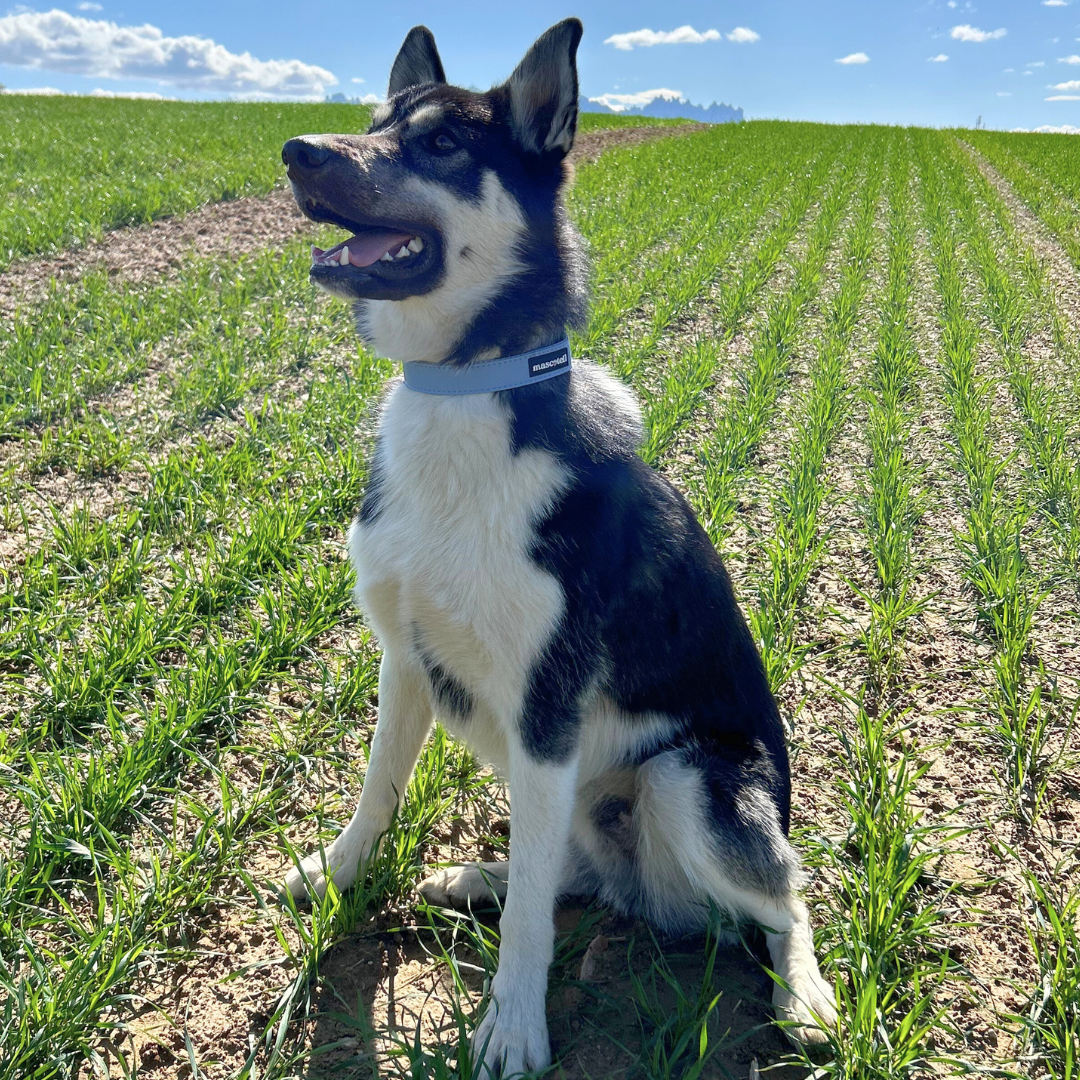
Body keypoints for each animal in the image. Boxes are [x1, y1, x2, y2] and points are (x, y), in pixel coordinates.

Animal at [280, 21, 833, 1075]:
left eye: (441, 144)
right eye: (374, 121)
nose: (296, 152)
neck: (465, 392)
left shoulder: (547, 707)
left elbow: (536, 920)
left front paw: (512, 1026)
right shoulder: (405, 658)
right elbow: (378, 790)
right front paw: (336, 871)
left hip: (686, 783)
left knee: (786, 899)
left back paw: (809, 996)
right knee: (569, 868)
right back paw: (479, 876)